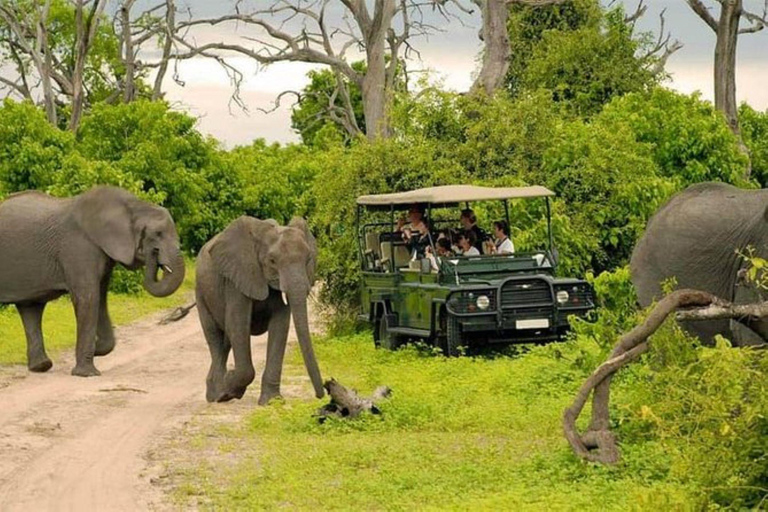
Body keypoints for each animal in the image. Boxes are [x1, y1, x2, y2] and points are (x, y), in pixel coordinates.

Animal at [0, 187, 186, 376]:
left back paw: (40, 367)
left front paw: (96, 349)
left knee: (31, 308)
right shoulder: (78, 247)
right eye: (157, 234)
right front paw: (86, 373)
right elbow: (88, 298)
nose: (154, 254)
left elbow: (100, 298)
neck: (134, 206)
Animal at [195, 215, 324, 404]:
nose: (321, 395)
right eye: (272, 261)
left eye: (308, 259)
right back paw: (219, 395)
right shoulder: (237, 278)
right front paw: (231, 385)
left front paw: (272, 401)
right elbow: (238, 324)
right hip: (201, 293)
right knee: (215, 338)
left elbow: (280, 325)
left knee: (226, 342)